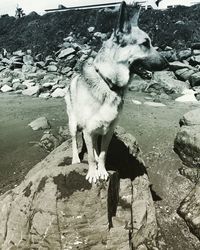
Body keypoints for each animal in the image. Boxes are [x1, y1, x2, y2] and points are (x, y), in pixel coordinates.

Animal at [65, 0, 168, 183]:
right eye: (145, 43)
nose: (168, 64)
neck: (108, 83)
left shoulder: (108, 132)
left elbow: (102, 154)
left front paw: (102, 170)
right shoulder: (88, 130)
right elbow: (90, 157)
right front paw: (92, 173)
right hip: (73, 124)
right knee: (74, 140)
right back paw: (76, 159)